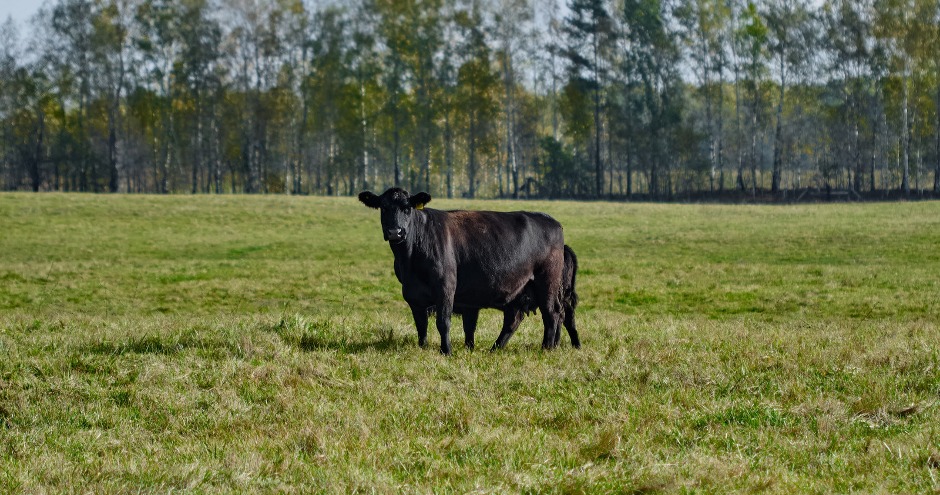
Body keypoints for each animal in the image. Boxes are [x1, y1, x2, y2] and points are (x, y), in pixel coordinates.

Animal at [358, 188, 572, 354]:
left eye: (407, 208)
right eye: (384, 207)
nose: (395, 232)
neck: (410, 259)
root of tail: (551, 220)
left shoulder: (445, 287)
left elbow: (443, 321)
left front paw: (446, 351)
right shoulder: (412, 294)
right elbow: (421, 324)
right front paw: (422, 348)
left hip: (546, 281)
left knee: (552, 313)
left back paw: (547, 348)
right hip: (519, 288)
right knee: (513, 319)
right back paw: (495, 348)